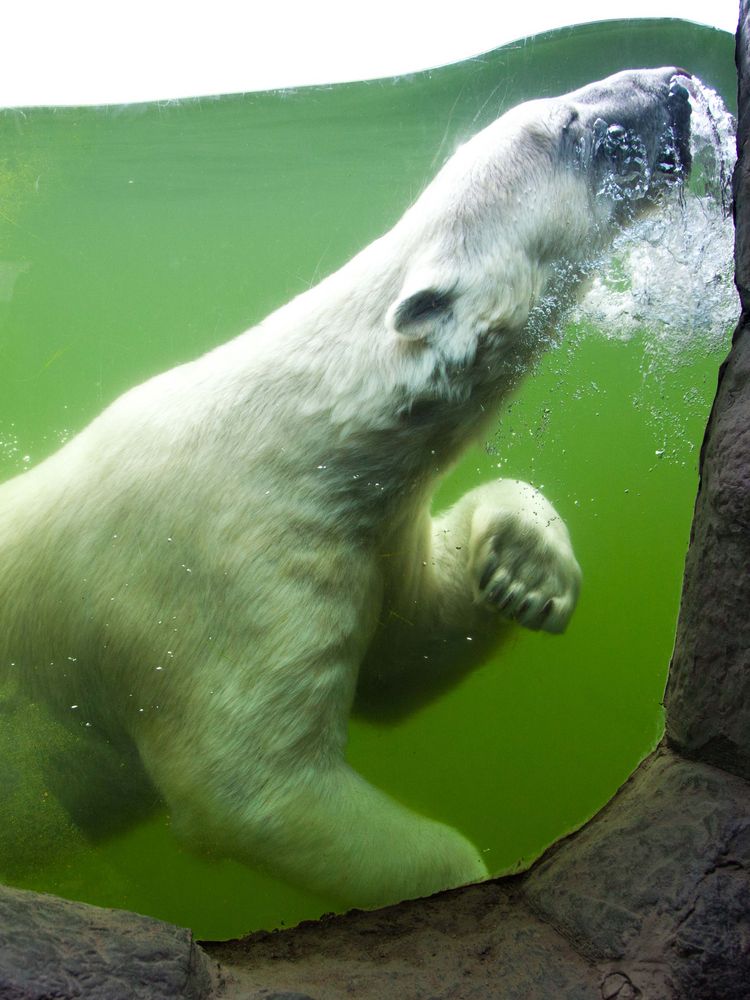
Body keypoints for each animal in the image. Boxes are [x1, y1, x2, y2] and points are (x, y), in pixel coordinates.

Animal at [0, 68, 692, 908]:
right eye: (568, 122)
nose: (676, 86)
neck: (300, 431)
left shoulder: (364, 539)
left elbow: (408, 653)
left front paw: (525, 569)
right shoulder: (217, 574)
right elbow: (254, 789)